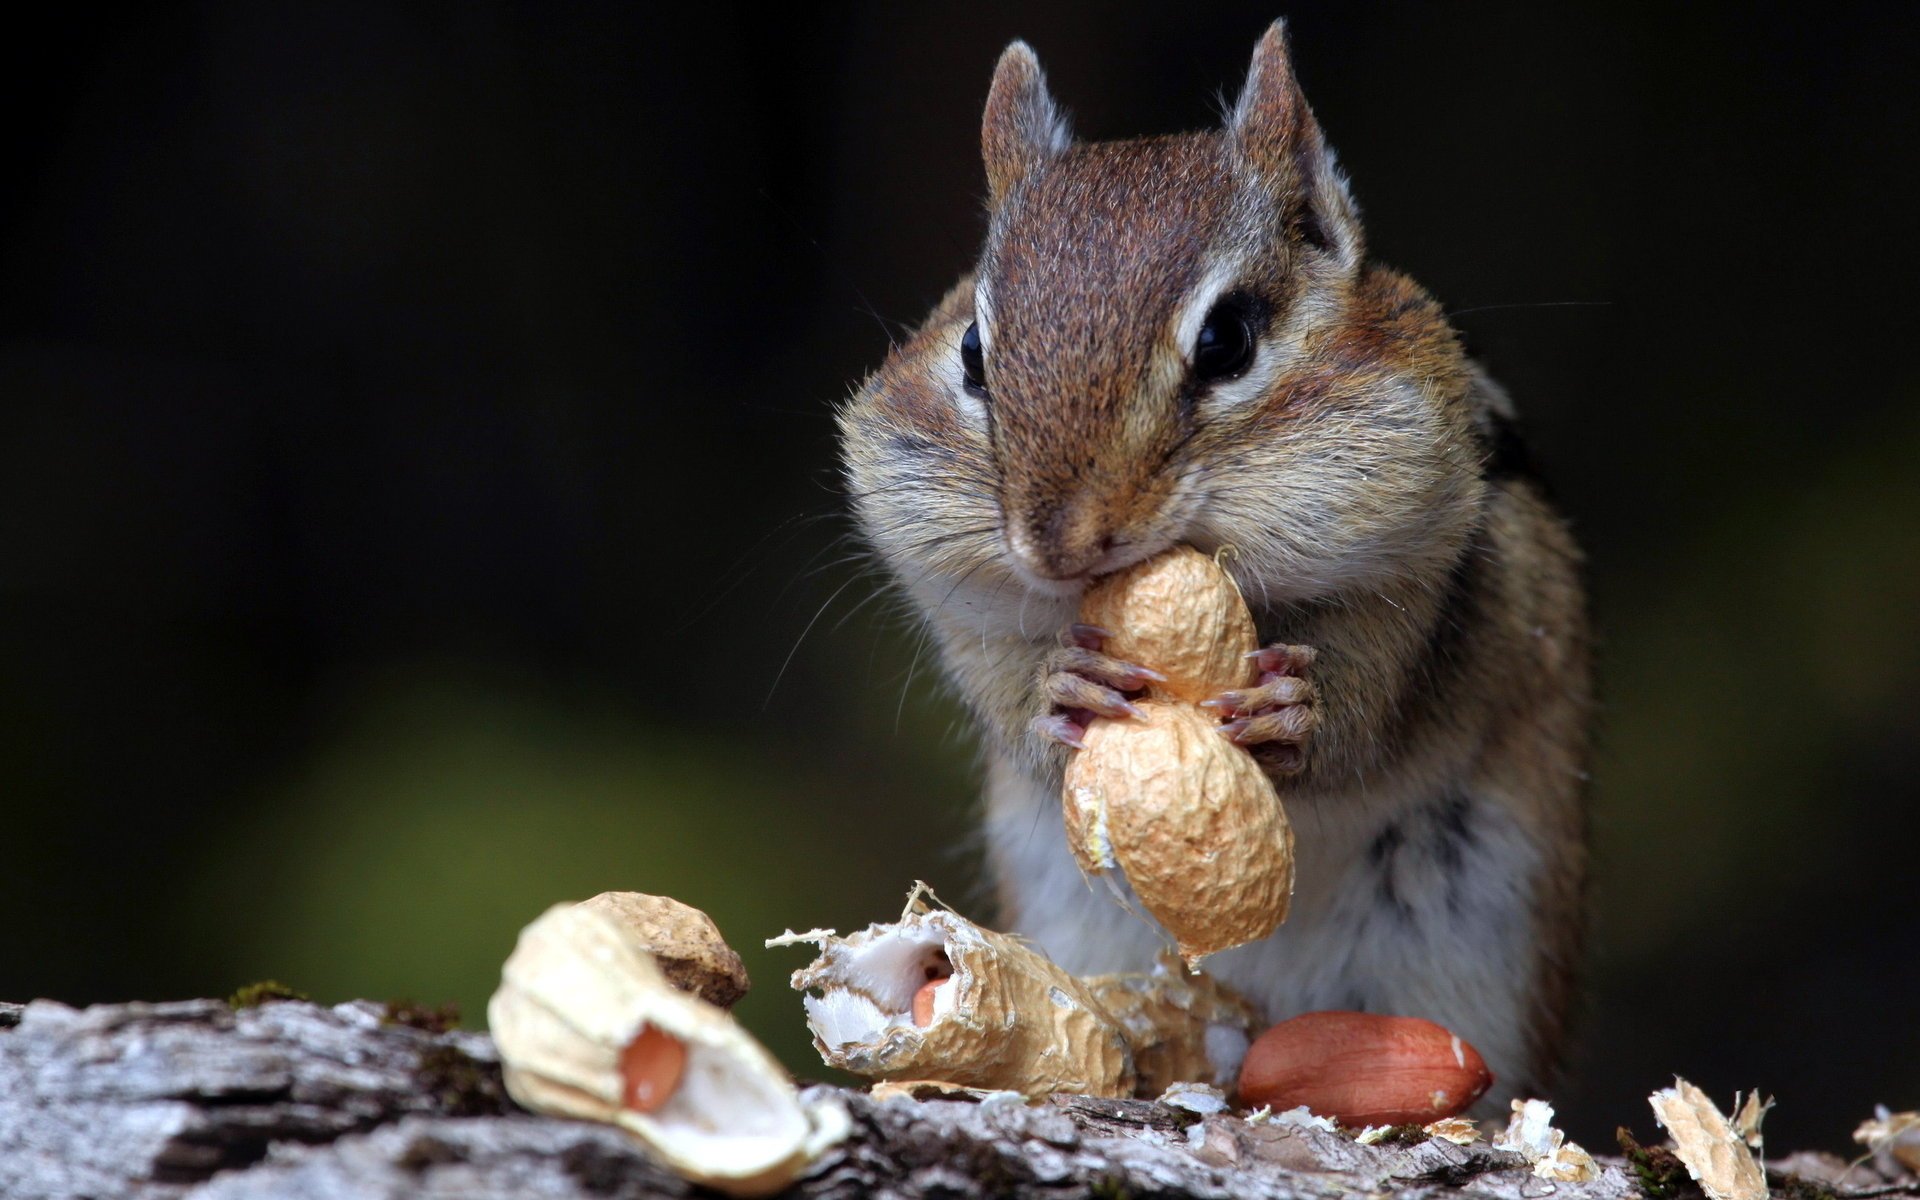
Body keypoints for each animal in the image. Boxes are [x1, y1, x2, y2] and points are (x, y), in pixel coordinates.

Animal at [837, 21, 1591, 1102]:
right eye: (974, 351)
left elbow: (1381, 707)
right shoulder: (964, 605)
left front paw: (1294, 710)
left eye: (1228, 340)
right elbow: (1012, 695)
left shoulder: (1437, 576)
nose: (1058, 545)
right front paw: (1063, 687)